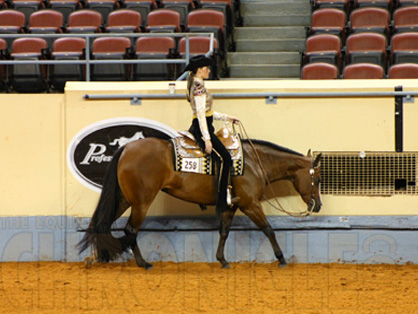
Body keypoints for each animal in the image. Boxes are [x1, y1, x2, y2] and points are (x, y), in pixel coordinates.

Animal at [77, 136, 320, 268]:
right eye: (317, 179)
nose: (317, 205)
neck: (253, 162)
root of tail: (127, 148)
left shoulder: (231, 205)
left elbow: (224, 231)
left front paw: (222, 260)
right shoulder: (250, 204)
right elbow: (268, 229)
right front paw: (281, 259)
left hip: (124, 199)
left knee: (102, 223)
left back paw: (97, 257)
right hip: (141, 202)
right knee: (129, 230)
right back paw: (143, 263)